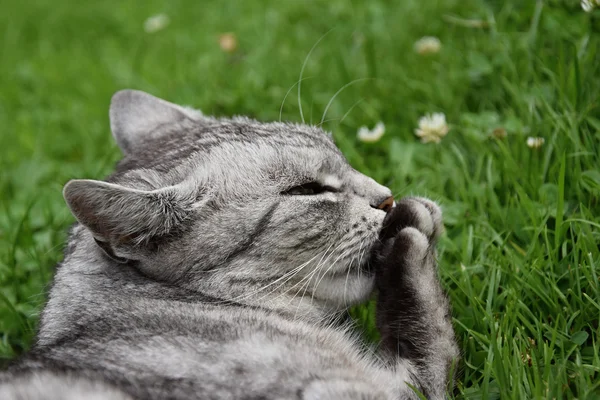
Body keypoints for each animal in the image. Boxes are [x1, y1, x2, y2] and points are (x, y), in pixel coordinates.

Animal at [1, 90, 460, 400]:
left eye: (342, 157)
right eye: (306, 190)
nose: (387, 198)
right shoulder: (371, 389)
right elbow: (435, 337)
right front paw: (415, 234)